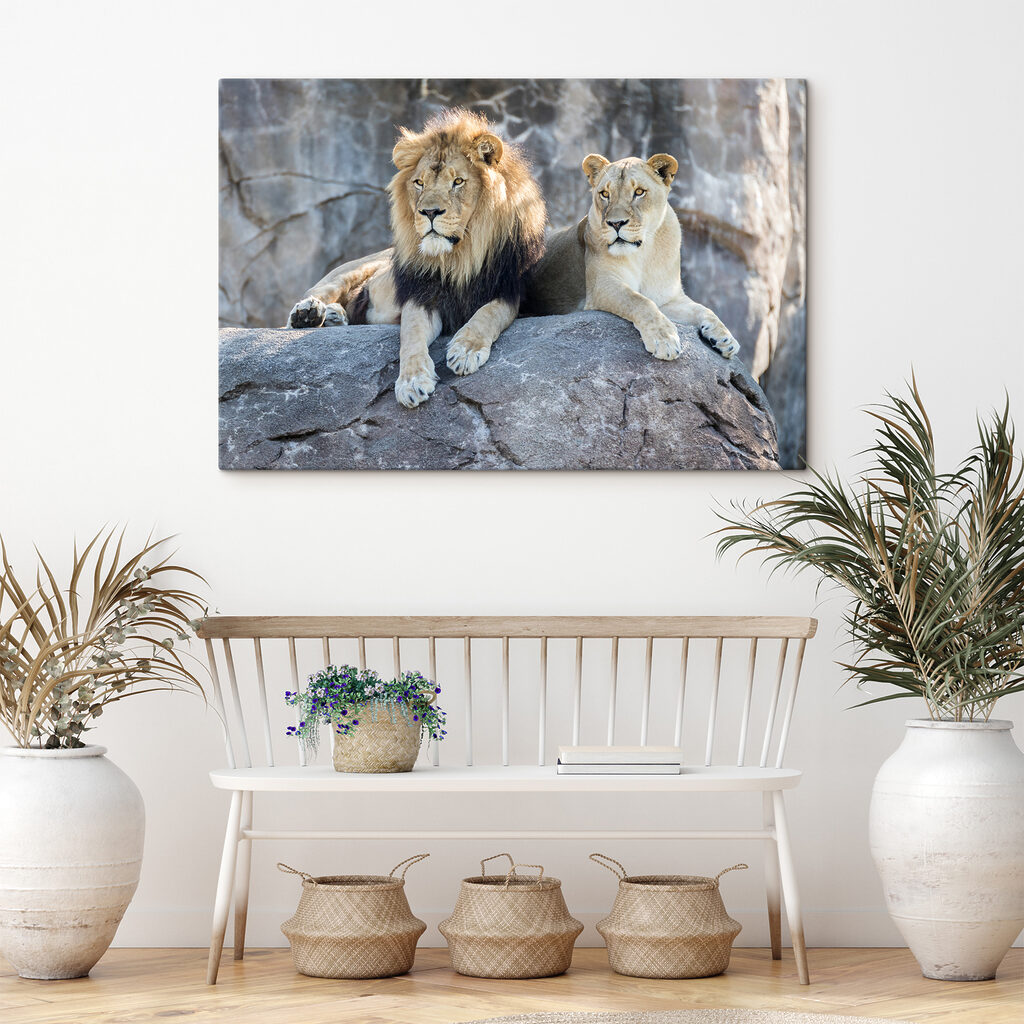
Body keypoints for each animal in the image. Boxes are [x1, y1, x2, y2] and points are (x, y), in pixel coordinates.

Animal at [286, 109, 546, 408]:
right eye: (419, 183)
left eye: (458, 181)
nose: (429, 212)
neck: (459, 257)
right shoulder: (421, 294)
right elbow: (410, 335)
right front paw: (411, 382)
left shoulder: (510, 291)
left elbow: (488, 313)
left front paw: (466, 350)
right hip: (350, 270)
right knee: (316, 295)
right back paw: (309, 314)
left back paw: (333, 317)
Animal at [522, 153, 739, 362]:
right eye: (605, 194)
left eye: (639, 192)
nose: (616, 223)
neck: (644, 253)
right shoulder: (602, 285)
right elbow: (640, 301)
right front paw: (664, 340)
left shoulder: (668, 298)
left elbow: (704, 309)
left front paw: (725, 339)